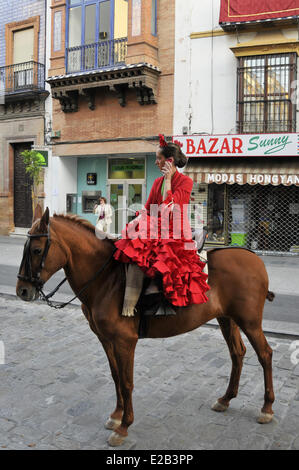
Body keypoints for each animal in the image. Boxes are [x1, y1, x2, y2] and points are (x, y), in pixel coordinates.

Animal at [15, 207, 276, 446]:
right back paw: (226, 399)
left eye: (36, 250)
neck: (106, 279)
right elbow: (116, 376)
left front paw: (124, 426)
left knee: (264, 354)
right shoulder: (106, 339)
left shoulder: (124, 341)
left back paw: (267, 407)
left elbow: (127, 381)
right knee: (237, 353)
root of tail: (255, 259)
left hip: (250, 322)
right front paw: (117, 415)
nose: (22, 291)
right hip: (227, 319)